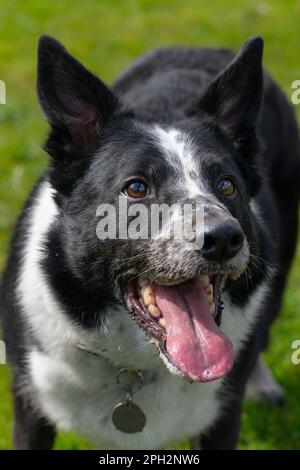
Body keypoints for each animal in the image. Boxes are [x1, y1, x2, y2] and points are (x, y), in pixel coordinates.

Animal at [0, 35, 300, 448]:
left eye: (226, 185)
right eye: (136, 188)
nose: (224, 238)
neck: (135, 366)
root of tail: (203, 47)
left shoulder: (222, 419)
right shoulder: (31, 405)